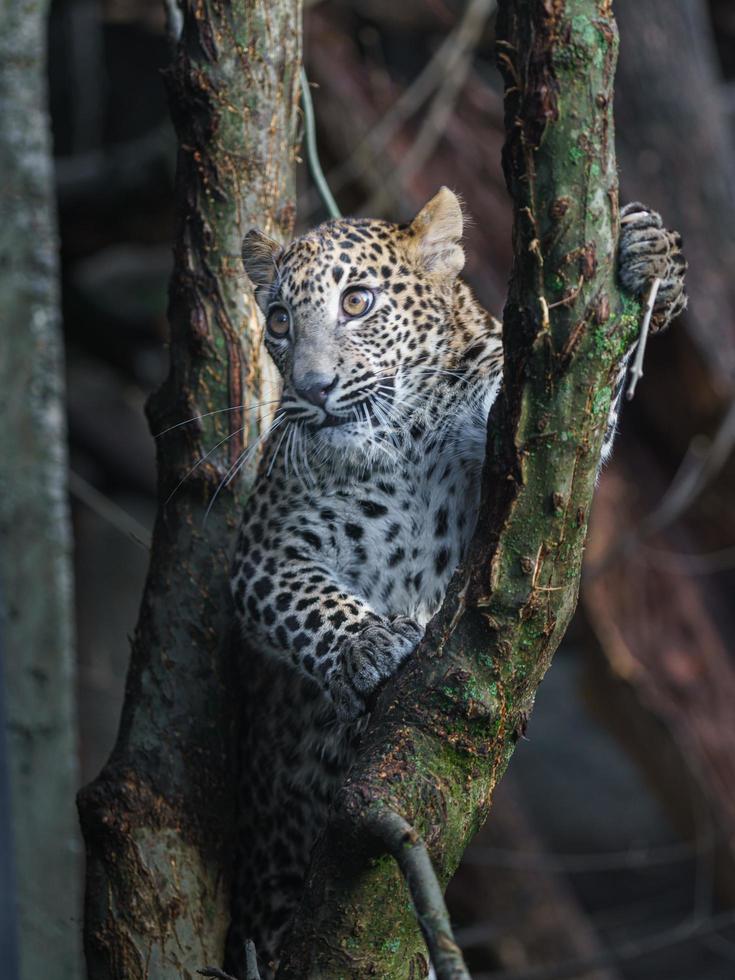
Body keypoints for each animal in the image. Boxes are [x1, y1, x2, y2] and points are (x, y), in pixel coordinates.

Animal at [226, 188, 688, 976]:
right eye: (280, 320)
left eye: (357, 301)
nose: (313, 389)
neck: (396, 444)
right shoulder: (263, 553)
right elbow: (308, 605)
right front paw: (369, 647)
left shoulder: (519, 445)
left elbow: (578, 416)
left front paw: (648, 255)